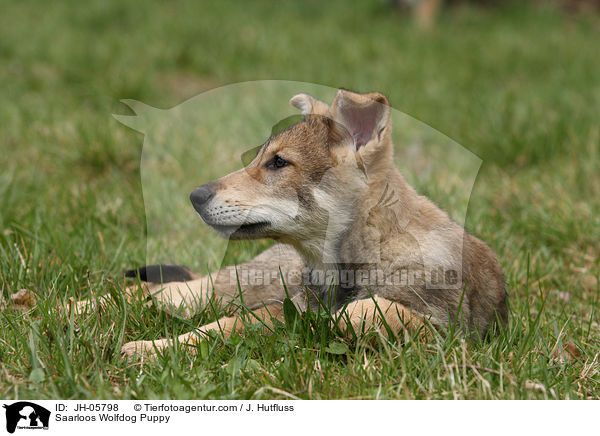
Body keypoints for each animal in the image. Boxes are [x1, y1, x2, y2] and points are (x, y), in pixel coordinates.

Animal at [111, 88, 506, 358]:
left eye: (278, 162)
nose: (195, 197)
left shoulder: (443, 331)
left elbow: (360, 313)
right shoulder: (290, 304)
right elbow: (227, 323)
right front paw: (150, 348)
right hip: (243, 282)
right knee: (163, 291)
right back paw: (94, 304)